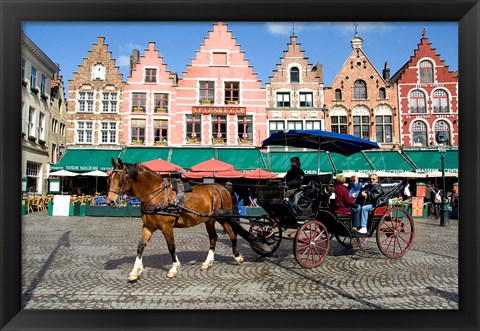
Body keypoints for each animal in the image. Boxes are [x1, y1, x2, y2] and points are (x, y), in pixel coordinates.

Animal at [107, 158, 246, 280]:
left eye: (120, 179)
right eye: (109, 179)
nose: (110, 201)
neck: (156, 194)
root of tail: (222, 187)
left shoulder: (167, 227)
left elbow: (171, 246)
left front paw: (174, 268)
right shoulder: (148, 226)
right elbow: (140, 246)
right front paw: (135, 272)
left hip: (223, 218)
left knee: (231, 234)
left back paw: (238, 256)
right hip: (209, 220)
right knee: (213, 238)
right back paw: (207, 263)